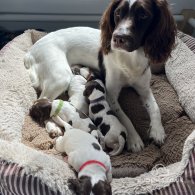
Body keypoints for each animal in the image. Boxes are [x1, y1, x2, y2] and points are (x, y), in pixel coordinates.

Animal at [23, 0, 176, 152]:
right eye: (117, 13)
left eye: (143, 15)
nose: (118, 38)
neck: (130, 58)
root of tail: (30, 52)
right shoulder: (111, 94)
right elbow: (124, 117)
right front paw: (134, 139)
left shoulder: (144, 88)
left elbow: (155, 107)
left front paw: (158, 131)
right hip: (61, 76)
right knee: (42, 100)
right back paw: (52, 126)